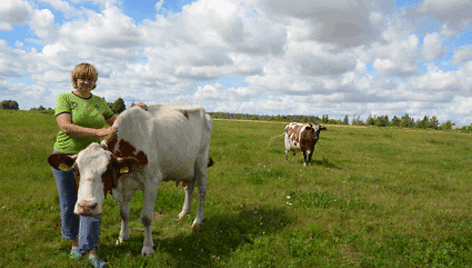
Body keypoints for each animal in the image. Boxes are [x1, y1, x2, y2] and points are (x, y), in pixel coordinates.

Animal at [47, 103, 213, 256]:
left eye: (107, 170)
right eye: (75, 170)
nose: (86, 207)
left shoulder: (152, 182)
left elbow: (146, 217)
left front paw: (147, 247)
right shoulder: (123, 185)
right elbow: (124, 214)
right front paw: (122, 238)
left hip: (201, 161)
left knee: (202, 189)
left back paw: (198, 220)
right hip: (187, 166)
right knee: (189, 186)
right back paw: (184, 212)